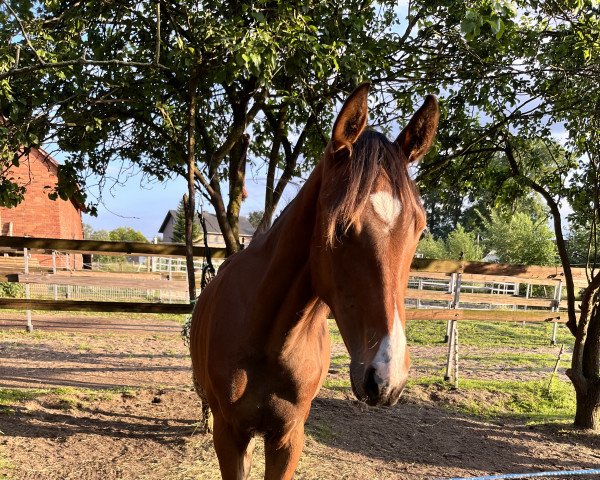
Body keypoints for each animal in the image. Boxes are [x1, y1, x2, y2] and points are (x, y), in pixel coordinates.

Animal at [190, 84, 438, 478]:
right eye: (342, 227)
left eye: (420, 228)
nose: (387, 377)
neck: (271, 341)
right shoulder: (229, 435)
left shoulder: (289, 438)